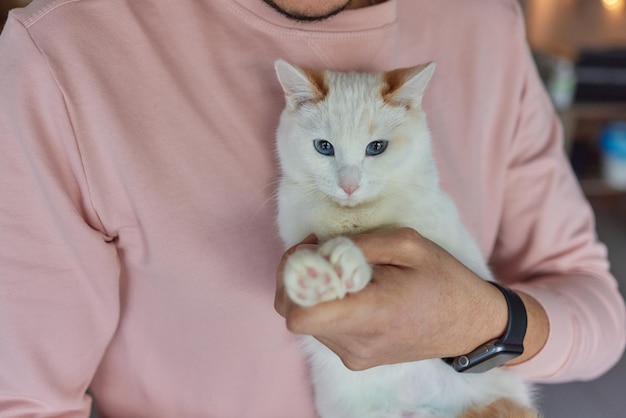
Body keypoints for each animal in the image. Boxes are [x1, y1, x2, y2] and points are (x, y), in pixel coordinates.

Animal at [274, 59, 536, 418]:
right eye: (324, 147)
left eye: (376, 147)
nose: (349, 186)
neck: (355, 217)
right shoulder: (296, 224)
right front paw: (313, 276)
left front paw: (346, 262)